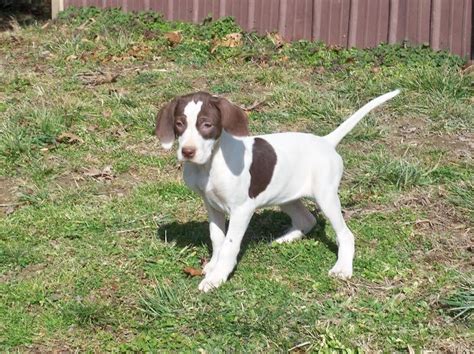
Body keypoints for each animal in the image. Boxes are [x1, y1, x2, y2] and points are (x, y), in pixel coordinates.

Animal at [156, 90, 400, 292]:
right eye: (179, 124)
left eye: (207, 124)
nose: (187, 152)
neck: (209, 165)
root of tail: (326, 142)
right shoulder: (211, 205)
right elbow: (217, 239)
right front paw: (213, 266)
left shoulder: (242, 209)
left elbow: (229, 246)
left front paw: (217, 277)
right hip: (286, 196)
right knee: (307, 220)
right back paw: (283, 239)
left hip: (326, 197)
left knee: (345, 235)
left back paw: (342, 268)